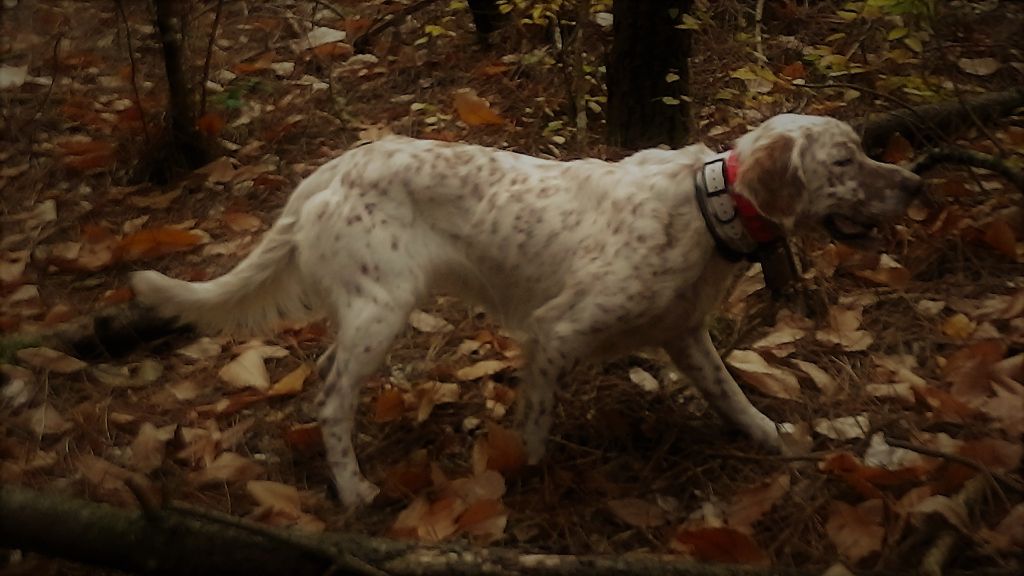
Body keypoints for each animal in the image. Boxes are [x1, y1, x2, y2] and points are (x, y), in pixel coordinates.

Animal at [132, 113, 925, 506]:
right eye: (845, 161)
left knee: (328, 379)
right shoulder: (556, 331)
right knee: (331, 398)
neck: (705, 208)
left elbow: (731, 394)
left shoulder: (684, 334)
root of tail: (330, 170)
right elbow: (537, 430)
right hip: (383, 309)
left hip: (366, 312)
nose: (915, 182)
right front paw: (533, 483)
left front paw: (770, 437)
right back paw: (354, 490)